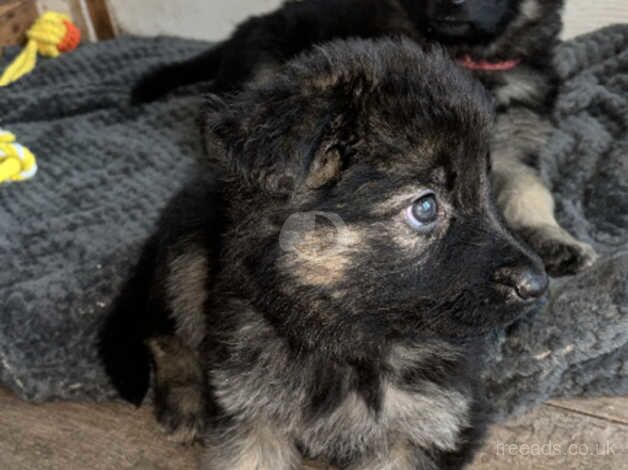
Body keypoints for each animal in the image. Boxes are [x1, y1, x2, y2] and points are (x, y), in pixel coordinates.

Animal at [100, 40, 548, 470]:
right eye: (425, 206)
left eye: (486, 189)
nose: (538, 284)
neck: (344, 339)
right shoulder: (252, 417)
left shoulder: (419, 430)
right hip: (188, 253)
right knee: (161, 328)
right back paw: (185, 397)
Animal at [130, 0, 596, 278]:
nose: (451, 3)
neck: (468, 57)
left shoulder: (515, 144)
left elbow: (530, 192)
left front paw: (555, 239)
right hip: (268, 78)